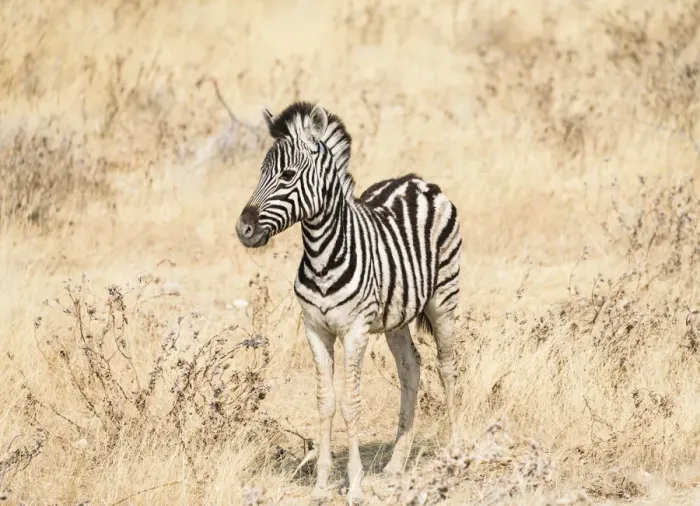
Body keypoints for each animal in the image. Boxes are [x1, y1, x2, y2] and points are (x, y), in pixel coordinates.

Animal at [235, 101, 461, 504]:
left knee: (447, 367)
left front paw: (354, 484)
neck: (322, 255)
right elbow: (325, 402)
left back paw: (454, 453)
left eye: (288, 175)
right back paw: (396, 463)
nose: (243, 229)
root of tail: (418, 181)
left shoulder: (355, 331)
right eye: (261, 172)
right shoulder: (315, 330)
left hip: (444, 299)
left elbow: (350, 404)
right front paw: (321, 484)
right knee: (411, 367)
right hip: (397, 315)